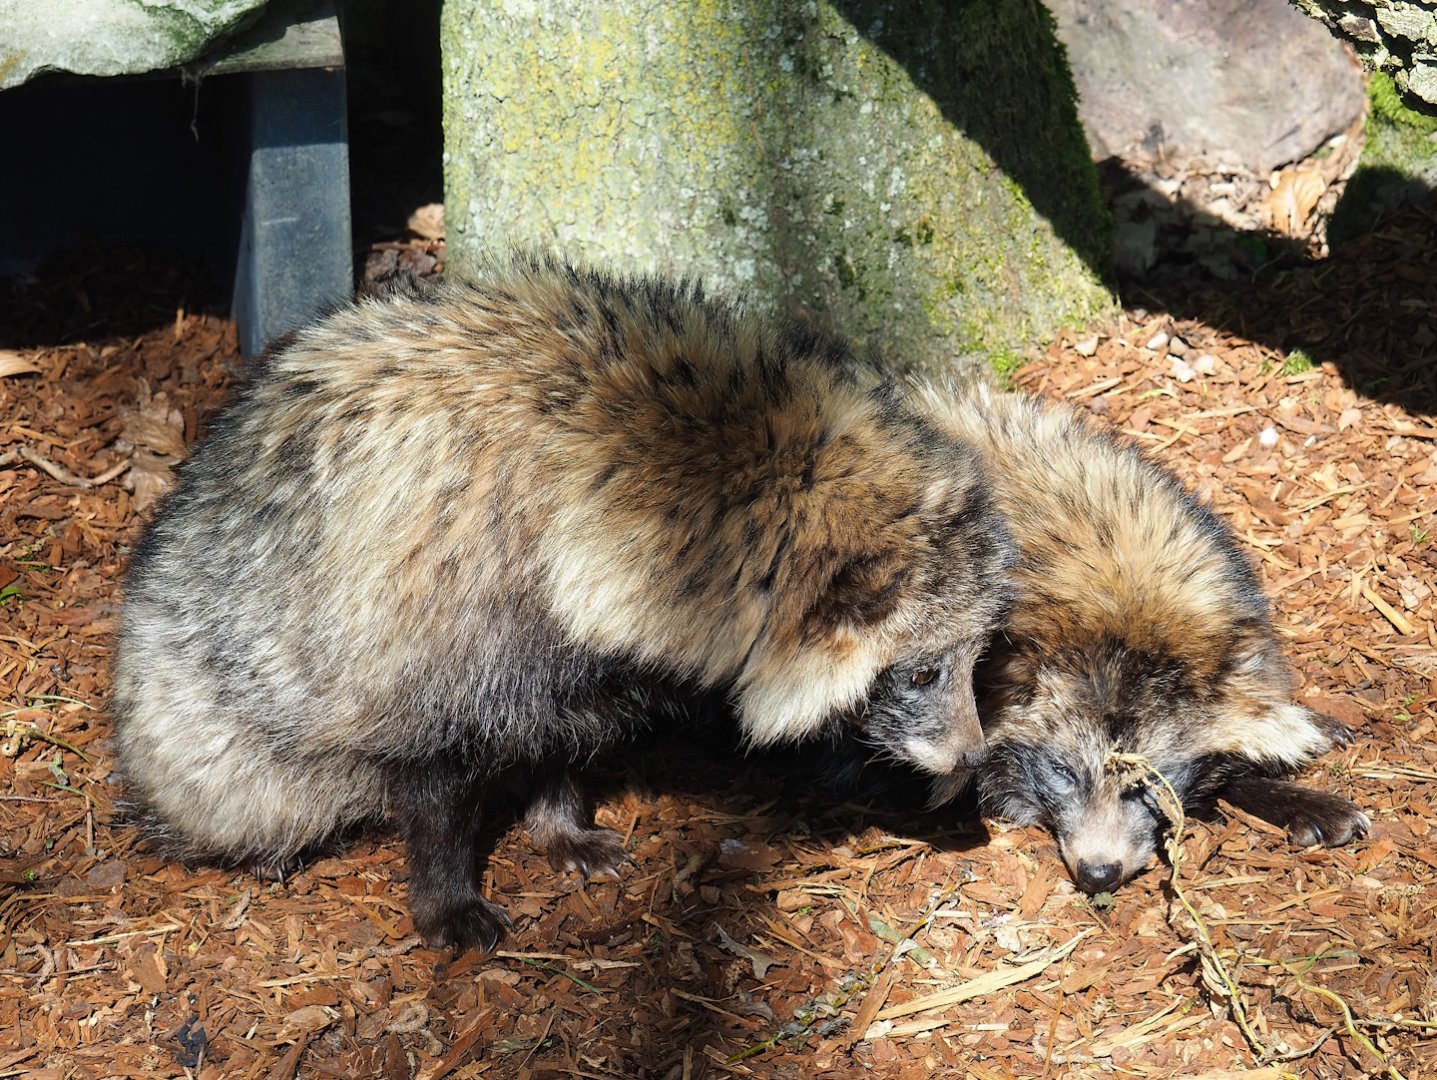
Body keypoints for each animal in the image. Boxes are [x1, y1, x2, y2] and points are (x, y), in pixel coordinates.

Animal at [112, 255, 1016, 950]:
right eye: (921, 674)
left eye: (974, 660)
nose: (973, 758)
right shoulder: (438, 621)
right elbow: (431, 780)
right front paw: (443, 893)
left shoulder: (571, 641)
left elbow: (560, 728)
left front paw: (557, 818)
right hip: (213, 722)